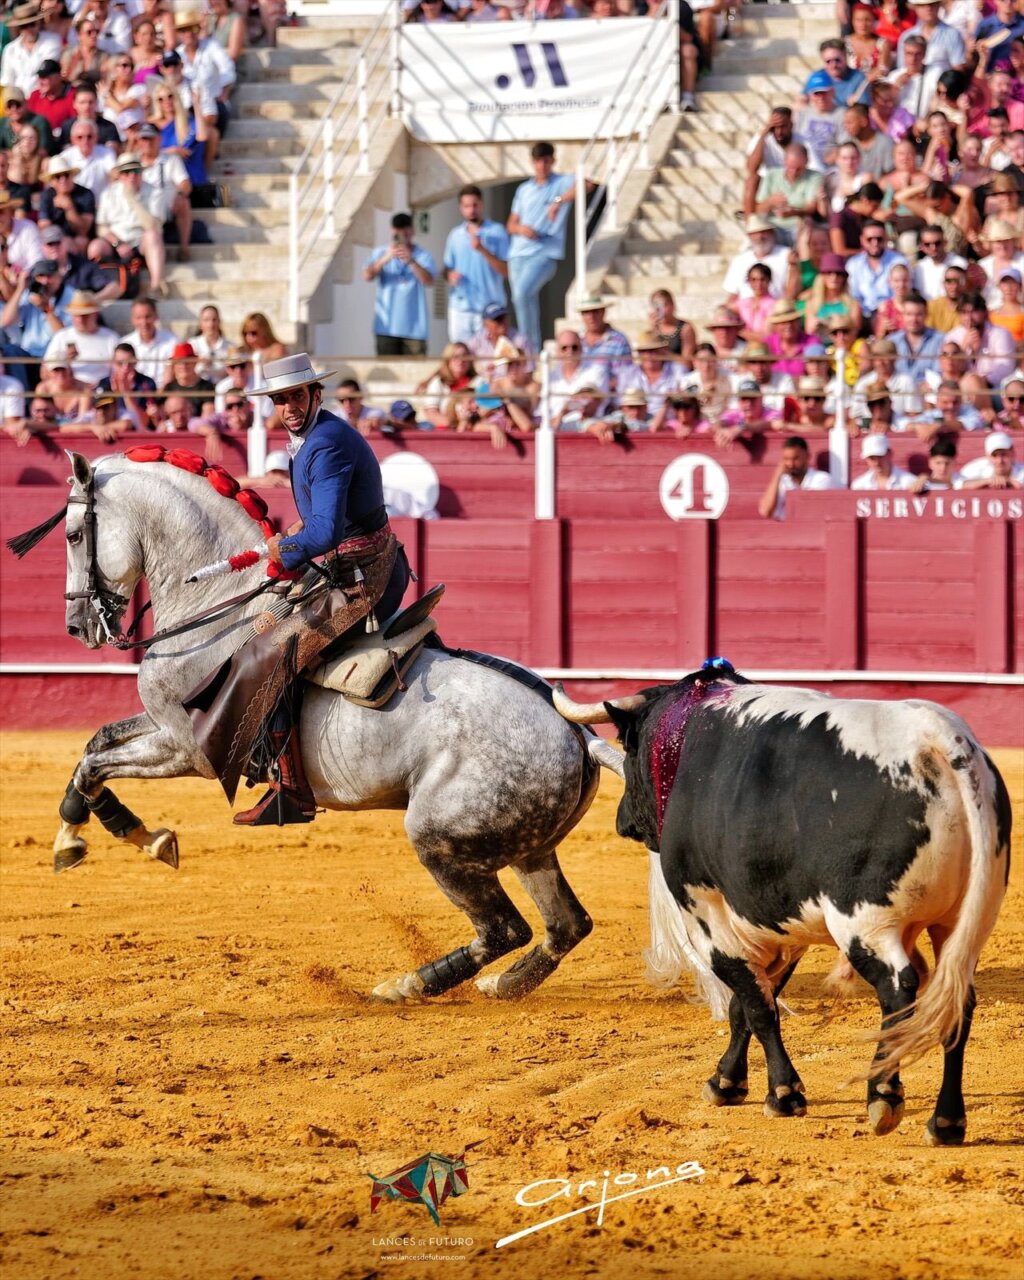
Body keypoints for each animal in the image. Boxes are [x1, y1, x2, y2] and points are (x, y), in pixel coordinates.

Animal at [19, 450, 617, 1003]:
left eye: (74, 534)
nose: (76, 627)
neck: (217, 609)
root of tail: (575, 734)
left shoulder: (190, 749)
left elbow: (95, 765)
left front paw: (117, 839)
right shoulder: (160, 724)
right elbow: (93, 746)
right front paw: (110, 837)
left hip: (439, 838)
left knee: (503, 929)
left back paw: (407, 985)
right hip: (528, 847)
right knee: (566, 925)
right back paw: (502, 984)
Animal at [554, 660, 1012, 1146]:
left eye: (629, 743)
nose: (622, 822)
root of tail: (938, 740)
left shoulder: (707, 911)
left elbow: (756, 1003)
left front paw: (783, 1092)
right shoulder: (777, 923)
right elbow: (749, 1001)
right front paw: (727, 1082)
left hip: (865, 923)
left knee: (898, 989)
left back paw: (883, 1097)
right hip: (959, 925)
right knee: (956, 1000)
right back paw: (946, 1121)